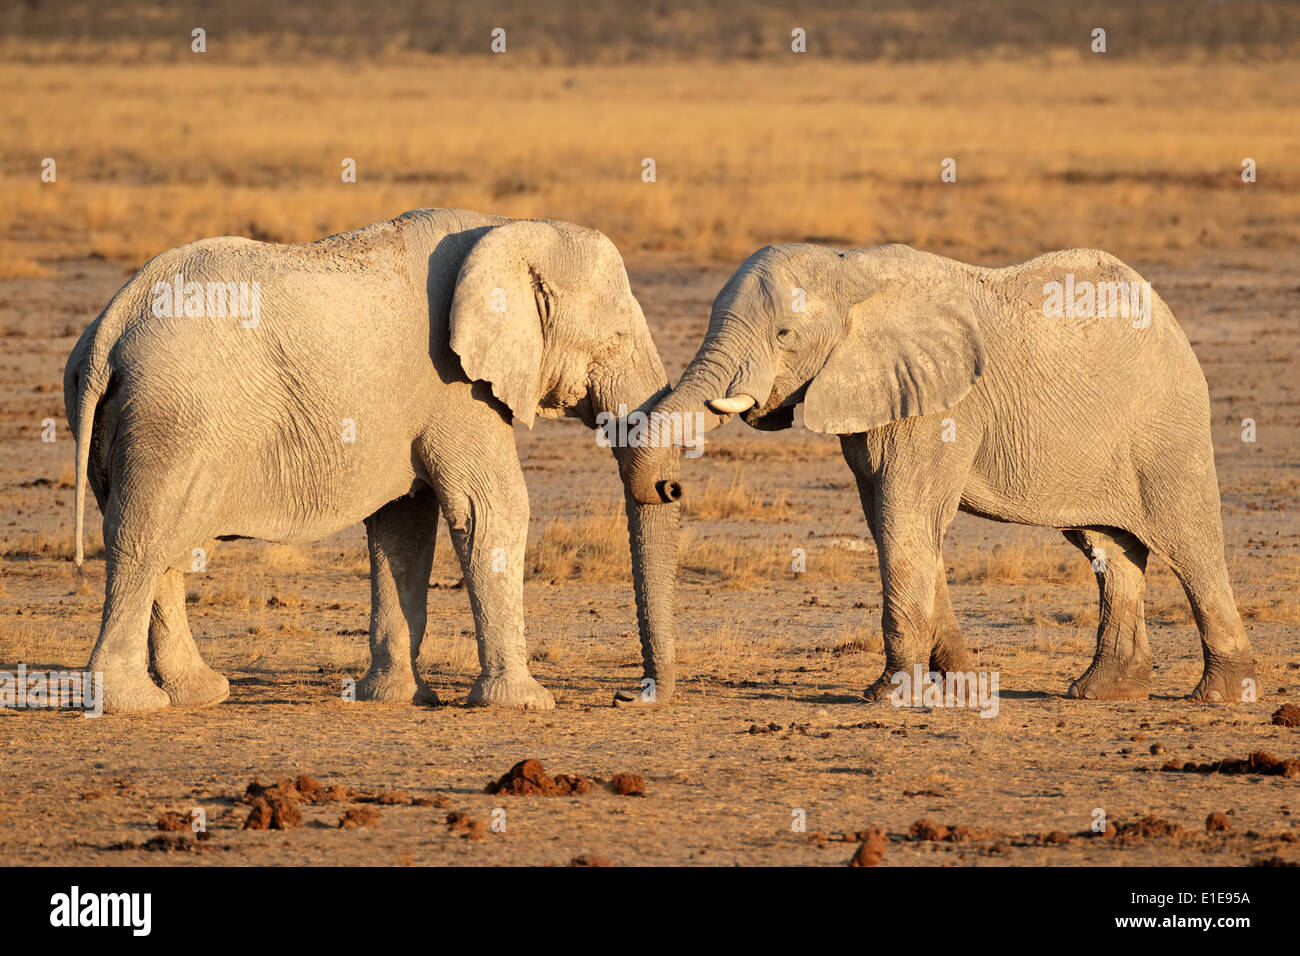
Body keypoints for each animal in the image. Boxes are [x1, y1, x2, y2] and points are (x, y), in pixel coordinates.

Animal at [65, 210, 686, 717]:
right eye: (615, 340)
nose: (625, 695)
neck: (511, 230)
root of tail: (110, 327)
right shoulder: (454, 385)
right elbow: (491, 508)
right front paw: (525, 703)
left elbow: (403, 525)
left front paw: (398, 698)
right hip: (175, 415)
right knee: (144, 539)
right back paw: (132, 704)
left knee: (166, 546)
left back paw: (199, 693)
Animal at [624, 243, 1253, 707]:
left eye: (783, 335)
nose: (670, 486)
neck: (850, 271)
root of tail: (1165, 312)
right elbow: (894, 526)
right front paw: (959, 682)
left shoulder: (941, 409)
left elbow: (905, 521)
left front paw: (885, 696)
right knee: (1108, 548)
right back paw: (1099, 692)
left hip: (1167, 429)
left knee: (1191, 544)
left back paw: (1219, 696)